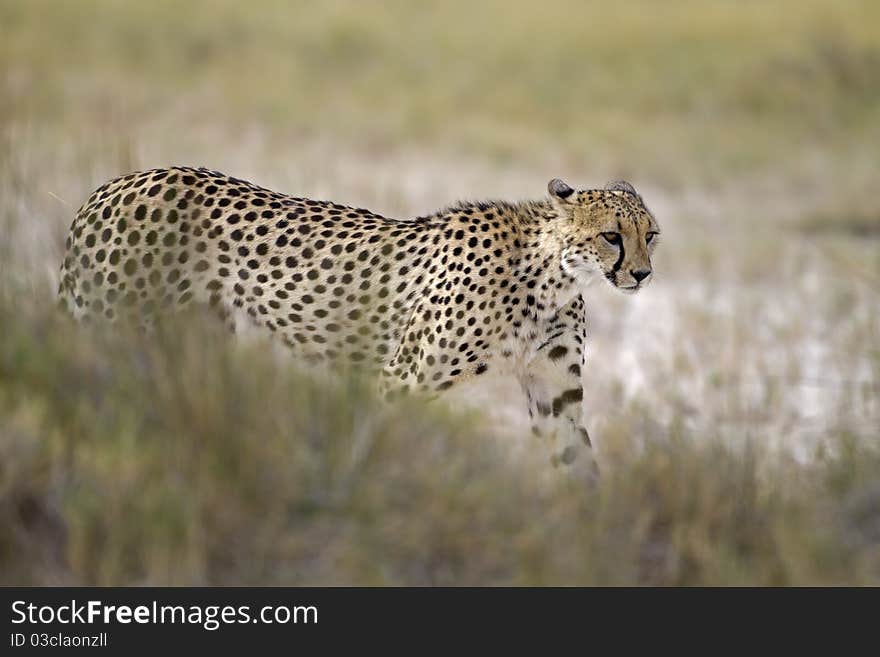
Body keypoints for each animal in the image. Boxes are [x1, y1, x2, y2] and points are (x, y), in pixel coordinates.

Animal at [56, 167, 660, 468]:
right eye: (612, 236)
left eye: (650, 234)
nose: (643, 274)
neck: (552, 276)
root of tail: (114, 185)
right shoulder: (401, 380)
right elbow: (374, 447)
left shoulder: (556, 396)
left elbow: (578, 466)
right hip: (109, 326)